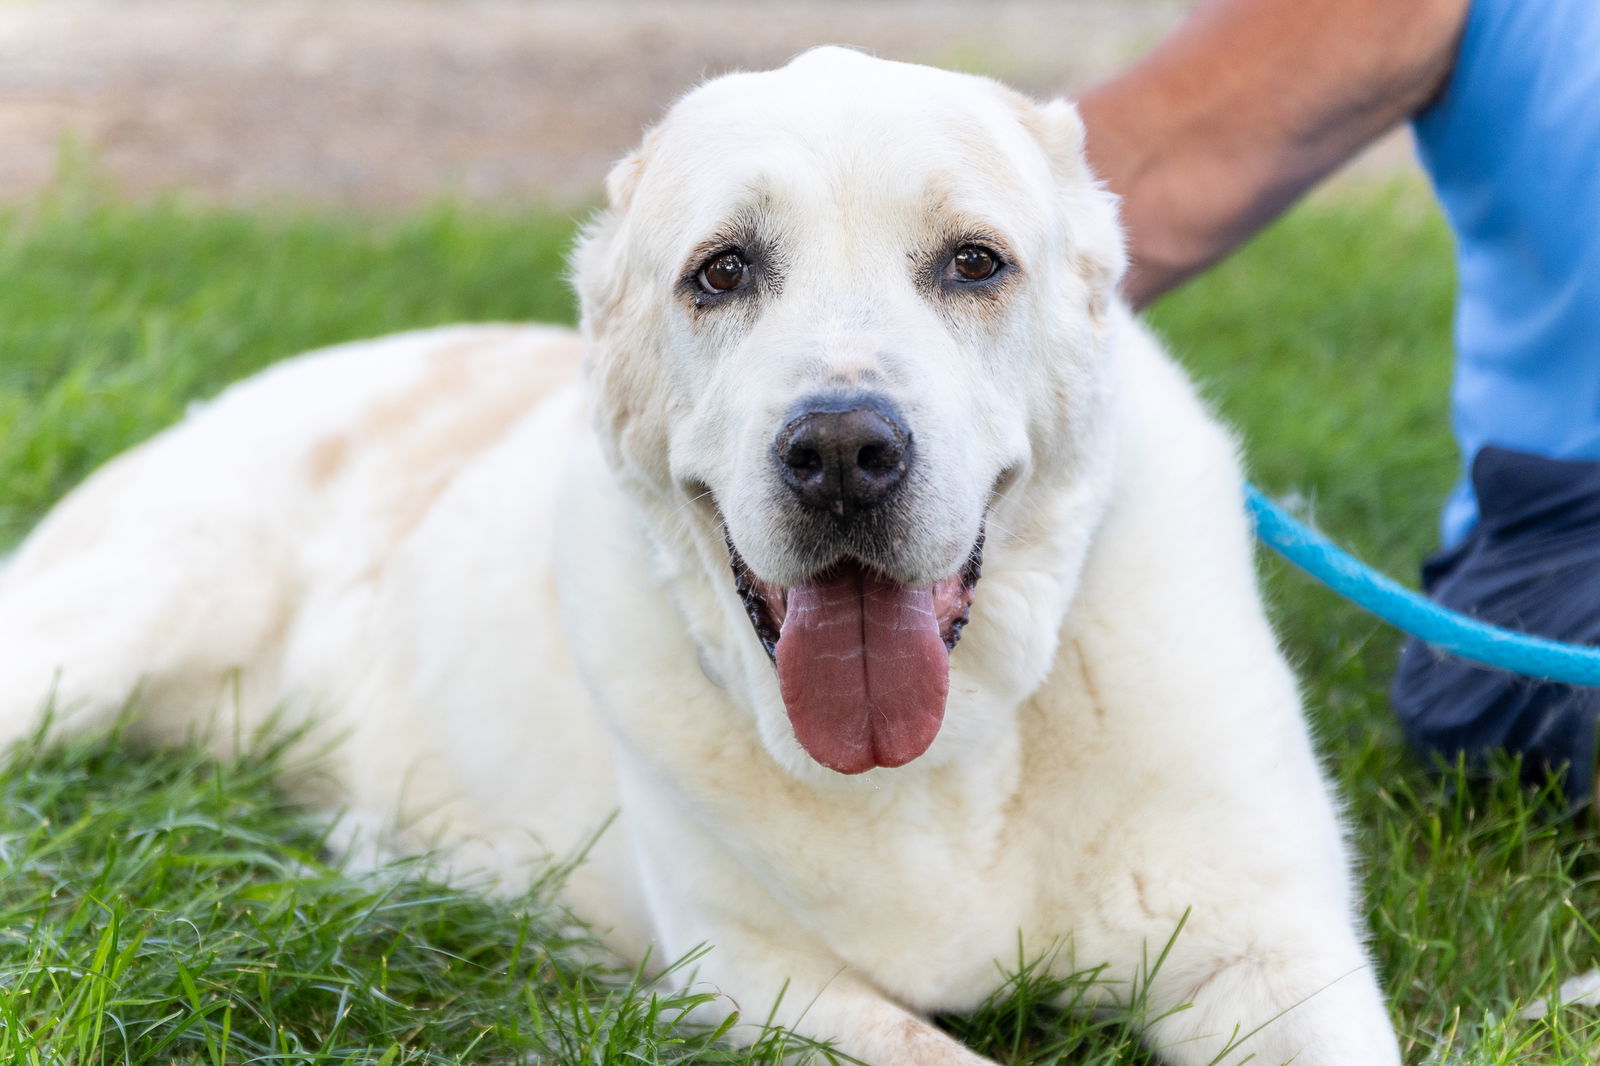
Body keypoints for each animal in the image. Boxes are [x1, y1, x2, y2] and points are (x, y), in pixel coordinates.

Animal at [0, 47, 1401, 1062]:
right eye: (722, 272)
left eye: (973, 263)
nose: (841, 450)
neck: (945, 758)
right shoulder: (758, 983)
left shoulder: (1269, 949)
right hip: (109, 633)